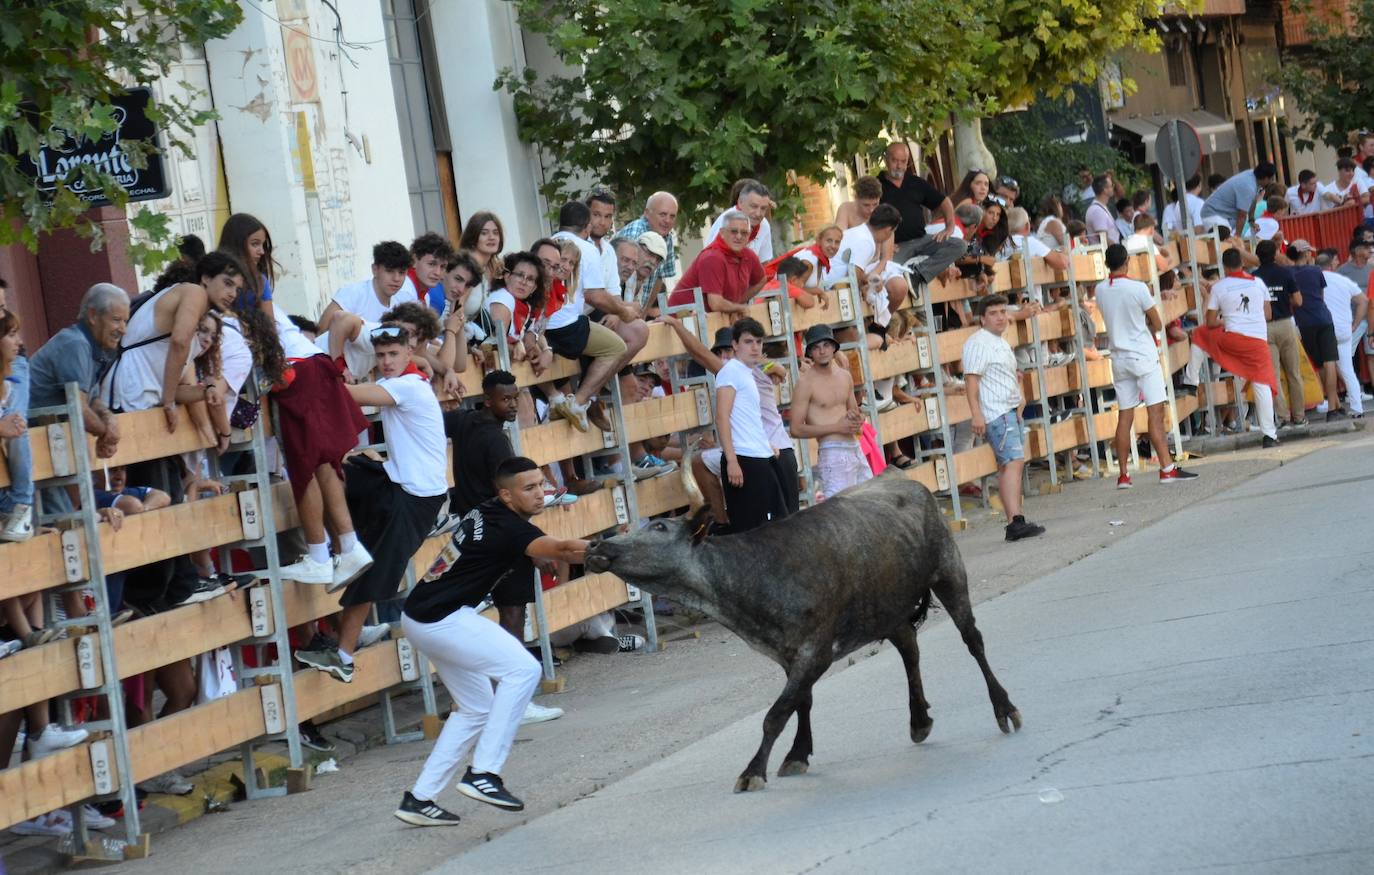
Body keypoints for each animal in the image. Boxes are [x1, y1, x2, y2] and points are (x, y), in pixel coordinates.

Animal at [582, 461, 1022, 796]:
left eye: (659, 528)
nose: (596, 547)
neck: (753, 578)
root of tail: (906, 479)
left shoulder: (816, 649)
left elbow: (777, 712)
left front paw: (753, 770)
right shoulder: (788, 654)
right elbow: (800, 702)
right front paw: (797, 754)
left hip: (948, 572)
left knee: (972, 640)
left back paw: (1005, 709)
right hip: (888, 608)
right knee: (910, 648)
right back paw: (919, 720)